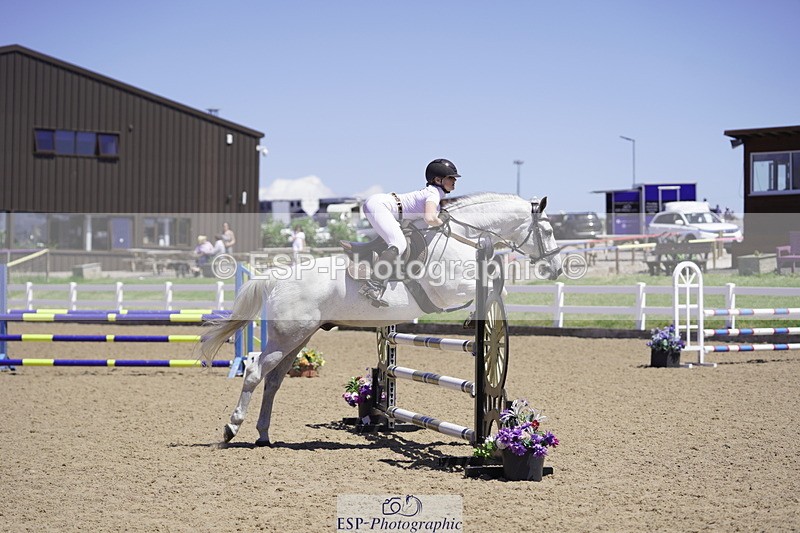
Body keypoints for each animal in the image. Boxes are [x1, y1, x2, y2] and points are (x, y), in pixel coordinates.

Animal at [201, 192, 562, 446]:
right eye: (547, 230)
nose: (556, 268)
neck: (464, 236)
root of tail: (276, 278)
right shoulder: (448, 289)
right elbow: (492, 286)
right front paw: (478, 314)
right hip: (287, 336)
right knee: (254, 373)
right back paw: (231, 429)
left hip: (298, 338)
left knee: (273, 381)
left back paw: (263, 435)